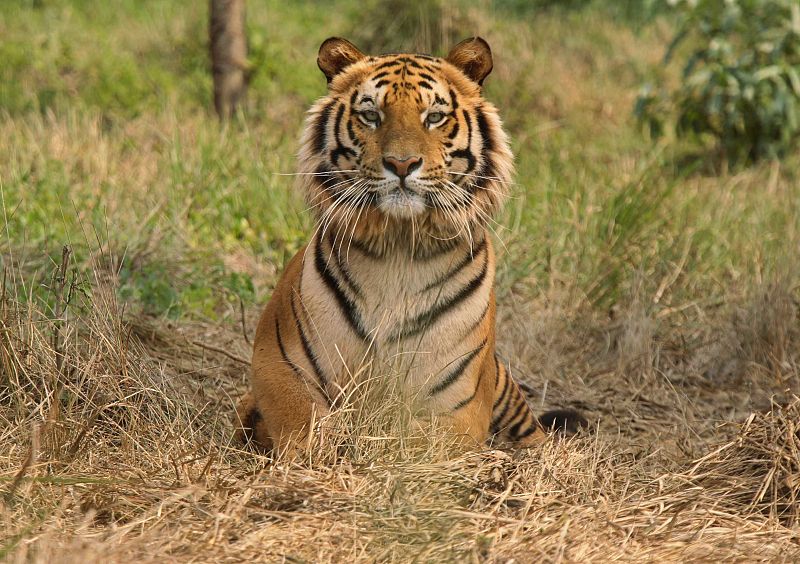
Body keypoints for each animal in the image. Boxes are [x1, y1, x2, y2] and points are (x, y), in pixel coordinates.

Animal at [234, 36, 584, 454]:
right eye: (371, 115)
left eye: (434, 117)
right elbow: (304, 426)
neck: (398, 249)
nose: (402, 164)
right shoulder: (277, 366)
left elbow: (416, 444)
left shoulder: (457, 404)